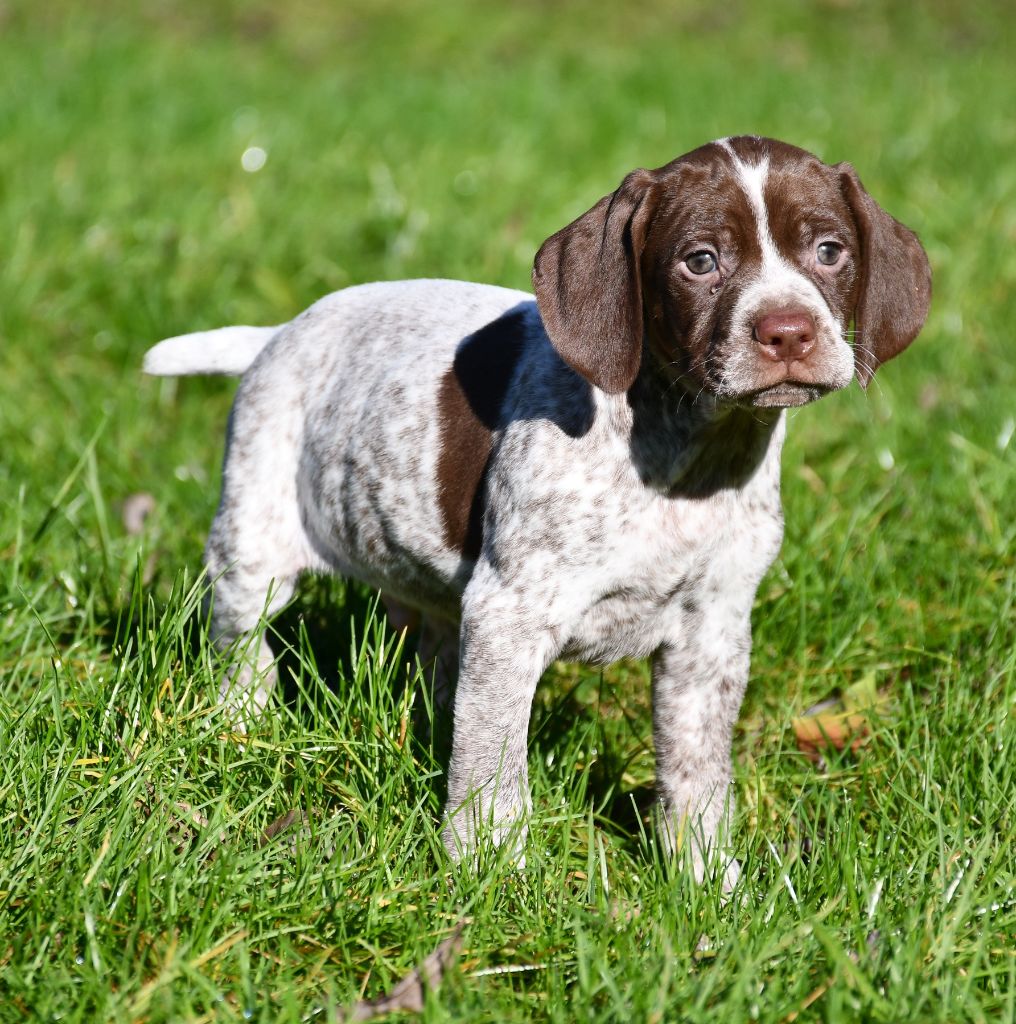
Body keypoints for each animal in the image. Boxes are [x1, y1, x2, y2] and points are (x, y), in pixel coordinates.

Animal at [146, 138, 934, 888]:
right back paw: (241, 725)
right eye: (700, 261)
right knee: (243, 649)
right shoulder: (511, 615)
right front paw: (489, 870)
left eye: (829, 250)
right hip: (254, 543)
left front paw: (706, 880)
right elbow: (493, 762)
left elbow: (696, 773)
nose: (788, 332)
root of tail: (277, 334)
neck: (689, 455)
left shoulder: (711, 635)